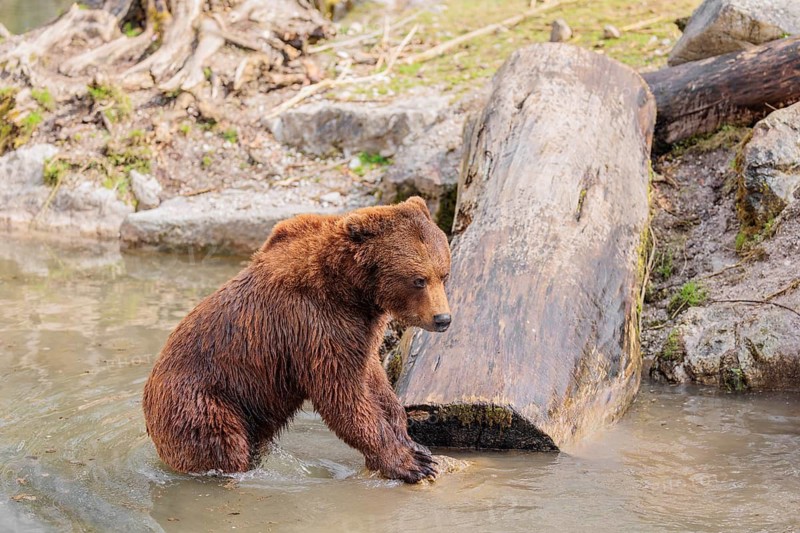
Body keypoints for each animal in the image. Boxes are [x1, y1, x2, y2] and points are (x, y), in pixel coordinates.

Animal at [142, 197, 452, 483]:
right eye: (418, 279)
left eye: (443, 274)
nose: (443, 319)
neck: (352, 290)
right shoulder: (313, 325)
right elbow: (342, 394)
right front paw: (410, 464)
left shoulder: (358, 329)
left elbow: (373, 378)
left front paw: (414, 444)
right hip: (203, 402)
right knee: (223, 444)